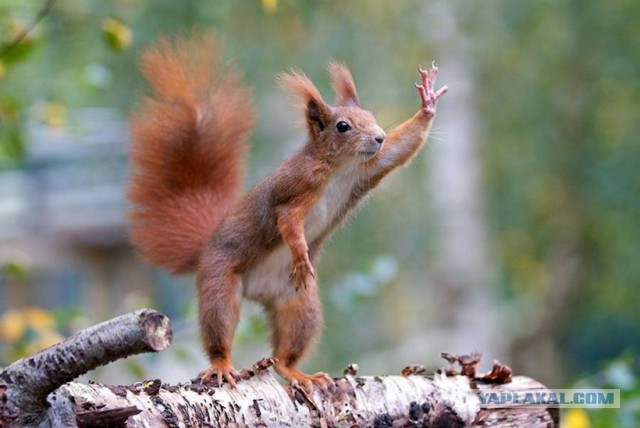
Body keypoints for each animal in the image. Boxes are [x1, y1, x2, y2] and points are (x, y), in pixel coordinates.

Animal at [127, 33, 447, 391]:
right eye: (343, 126)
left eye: (371, 115)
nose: (378, 137)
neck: (338, 167)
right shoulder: (294, 190)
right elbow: (288, 221)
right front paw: (301, 254)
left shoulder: (369, 168)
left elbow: (400, 149)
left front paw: (428, 104)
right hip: (219, 281)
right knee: (219, 325)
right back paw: (222, 364)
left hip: (299, 304)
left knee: (283, 354)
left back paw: (296, 372)